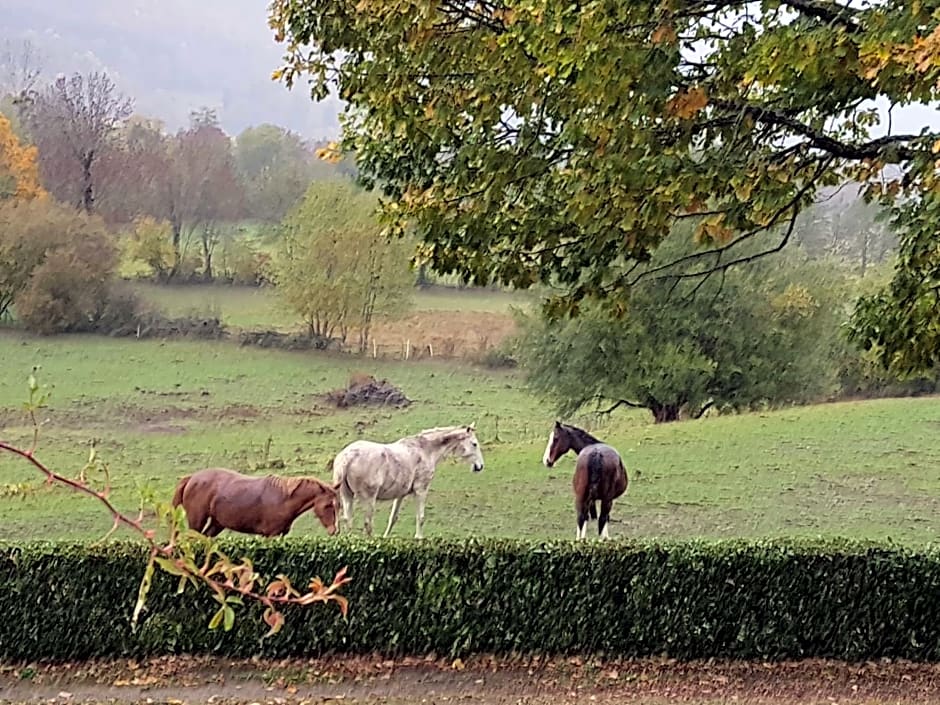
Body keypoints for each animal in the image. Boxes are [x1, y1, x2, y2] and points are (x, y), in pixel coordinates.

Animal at [172, 468, 342, 540]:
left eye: (338, 505)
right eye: (328, 505)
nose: (334, 531)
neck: (284, 498)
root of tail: (192, 478)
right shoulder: (271, 535)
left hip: (216, 524)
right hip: (197, 522)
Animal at [330, 424, 484, 540]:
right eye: (474, 444)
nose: (480, 466)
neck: (426, 449)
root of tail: (348, 457)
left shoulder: (400, 495)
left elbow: (393, 518)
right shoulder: (421, 490)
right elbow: (420, 517)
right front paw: (419, 538)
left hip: (347, 495)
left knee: (348, 520)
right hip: (368, 498)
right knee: (367, 524)